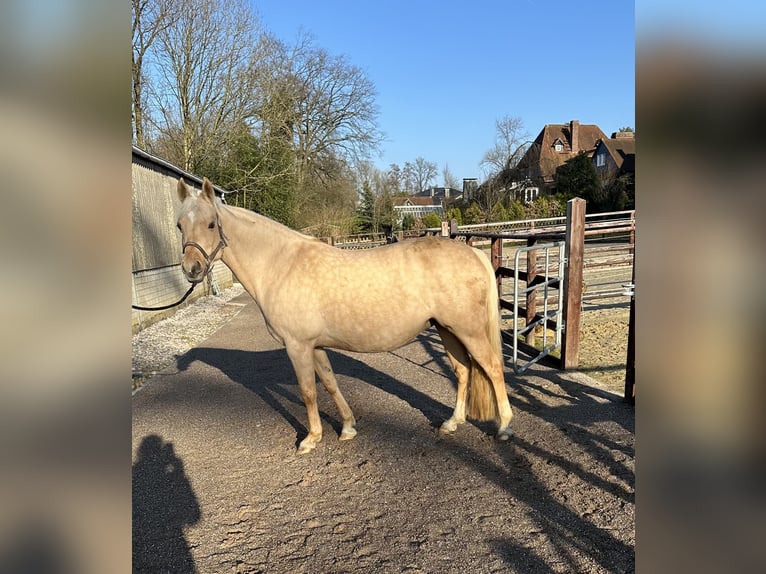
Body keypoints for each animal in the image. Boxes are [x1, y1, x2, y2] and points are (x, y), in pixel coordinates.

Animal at [178, 178, 516, 452]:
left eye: (211, 224)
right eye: (180, 225)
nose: (192, 269)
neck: (280, 264)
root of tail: (473, 252)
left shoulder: (297, 346)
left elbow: (308, 391)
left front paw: (310, 439)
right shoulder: (315, 346)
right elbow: (329, 383)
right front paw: (348, 427)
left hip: (468, 330)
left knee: (492, 367)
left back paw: (504, 427)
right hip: (447, 329)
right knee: (463, 371)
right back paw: (452, 422)